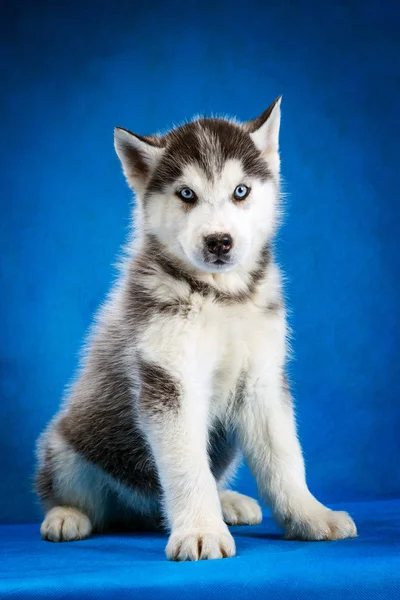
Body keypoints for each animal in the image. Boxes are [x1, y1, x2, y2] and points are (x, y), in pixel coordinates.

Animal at [36, 96, 356, 560]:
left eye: (240, 191)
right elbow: (188, 466)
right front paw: (201, 530)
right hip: (64, 445)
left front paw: (310, 515)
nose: (219, 241)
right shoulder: (170, 381)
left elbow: (284, 458)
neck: (222, 297)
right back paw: (66, 515)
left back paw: (229, 502)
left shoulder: (262, 380)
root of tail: (140, 510)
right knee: (75, 492)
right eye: (186, 194)